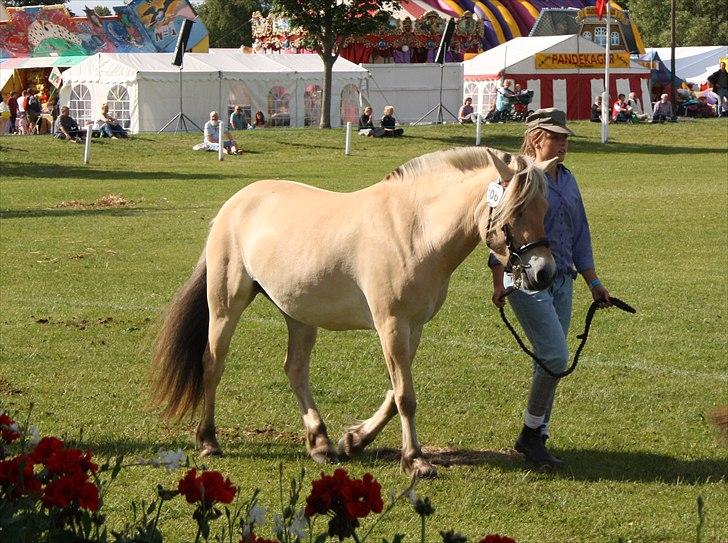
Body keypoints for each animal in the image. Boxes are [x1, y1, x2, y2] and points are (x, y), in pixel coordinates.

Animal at [151, 147, 556, 478]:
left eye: (545, 210)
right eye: (516, 211)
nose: (543, 272)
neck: (413, 230)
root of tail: (234, 204)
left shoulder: (413, 327)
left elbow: (395, 394)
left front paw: (355, 440)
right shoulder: (390, 324)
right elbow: (405, 396)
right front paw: (416, 461)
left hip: (299, 314)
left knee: (295, 370)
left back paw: (320, 442)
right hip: (225, 305)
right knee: (212, 364)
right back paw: (208, 440)